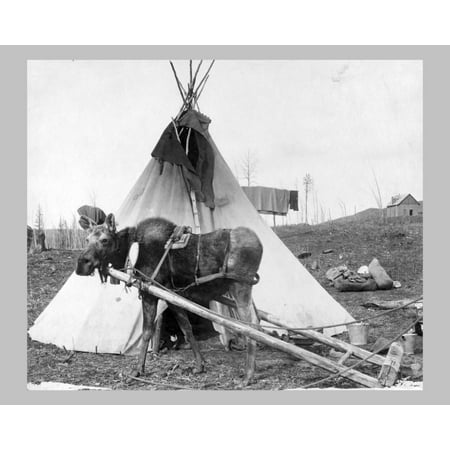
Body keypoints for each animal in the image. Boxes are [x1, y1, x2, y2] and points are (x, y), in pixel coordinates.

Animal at [75, 214, 262, 386]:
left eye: (104, 240)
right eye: (87, 239)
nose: (82, 264)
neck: (130, 253)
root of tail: (260, 246)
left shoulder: (151, 294)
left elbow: (147, 332)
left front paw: (137, 370)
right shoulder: (173, 296)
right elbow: (186, 328)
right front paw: (200, 365)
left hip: (240, 286)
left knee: (251, 325)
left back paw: (248, 376)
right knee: (257, 319)